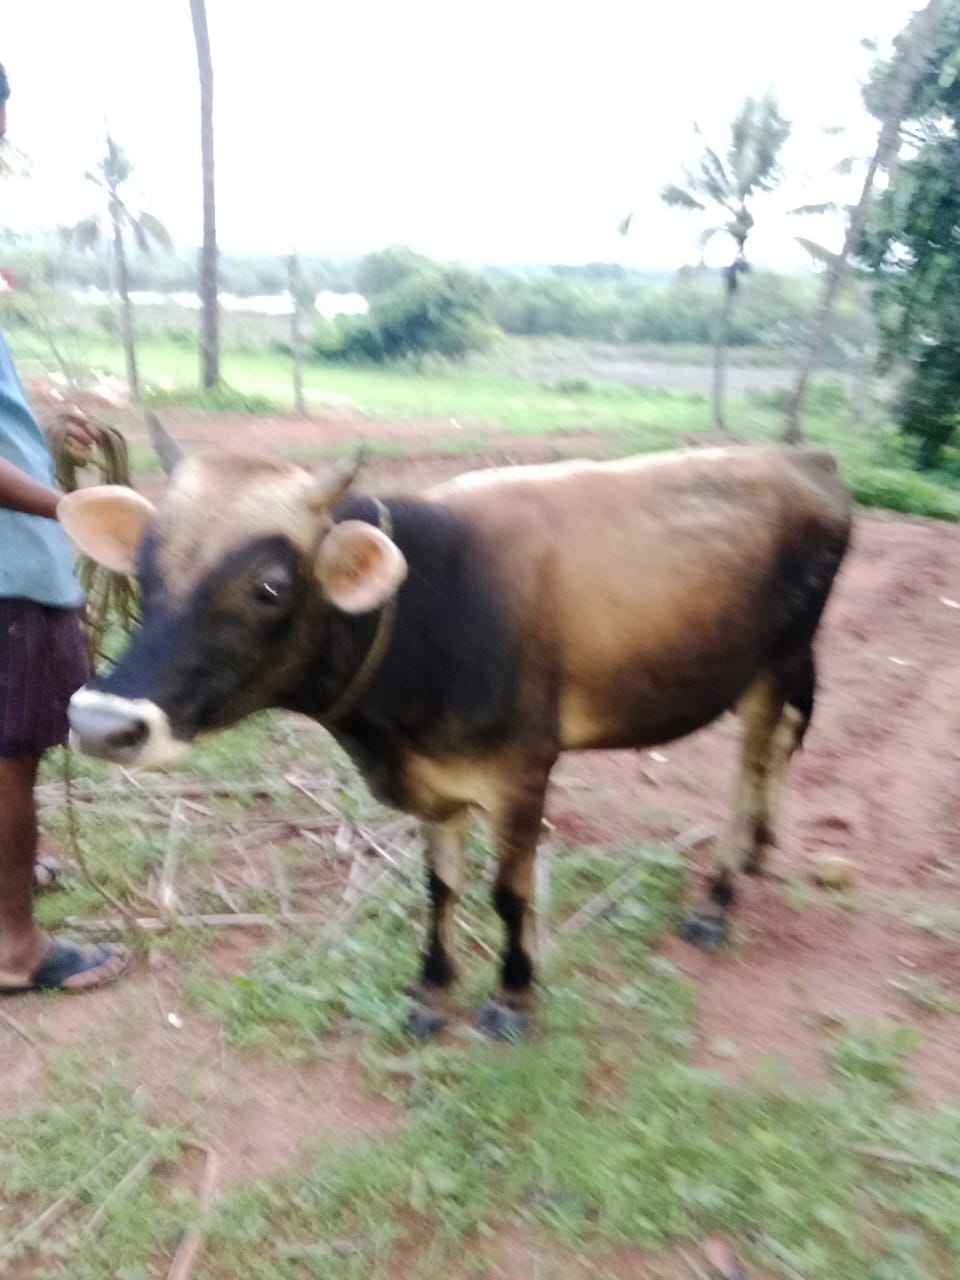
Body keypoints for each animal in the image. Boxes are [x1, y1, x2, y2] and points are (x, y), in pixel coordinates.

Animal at [59, 442, 852, 1039]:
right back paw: (756, 851)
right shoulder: (434, 784)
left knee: (751, 765)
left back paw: (718, 898)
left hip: (774, 665)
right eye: (145, 569)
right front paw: (432, 992)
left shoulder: (523, 772)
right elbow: (440, 886)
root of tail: (804, 458)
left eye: (269, 588)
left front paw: (513, 996)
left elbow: (509, 893)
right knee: (780, 749)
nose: (101, 724)